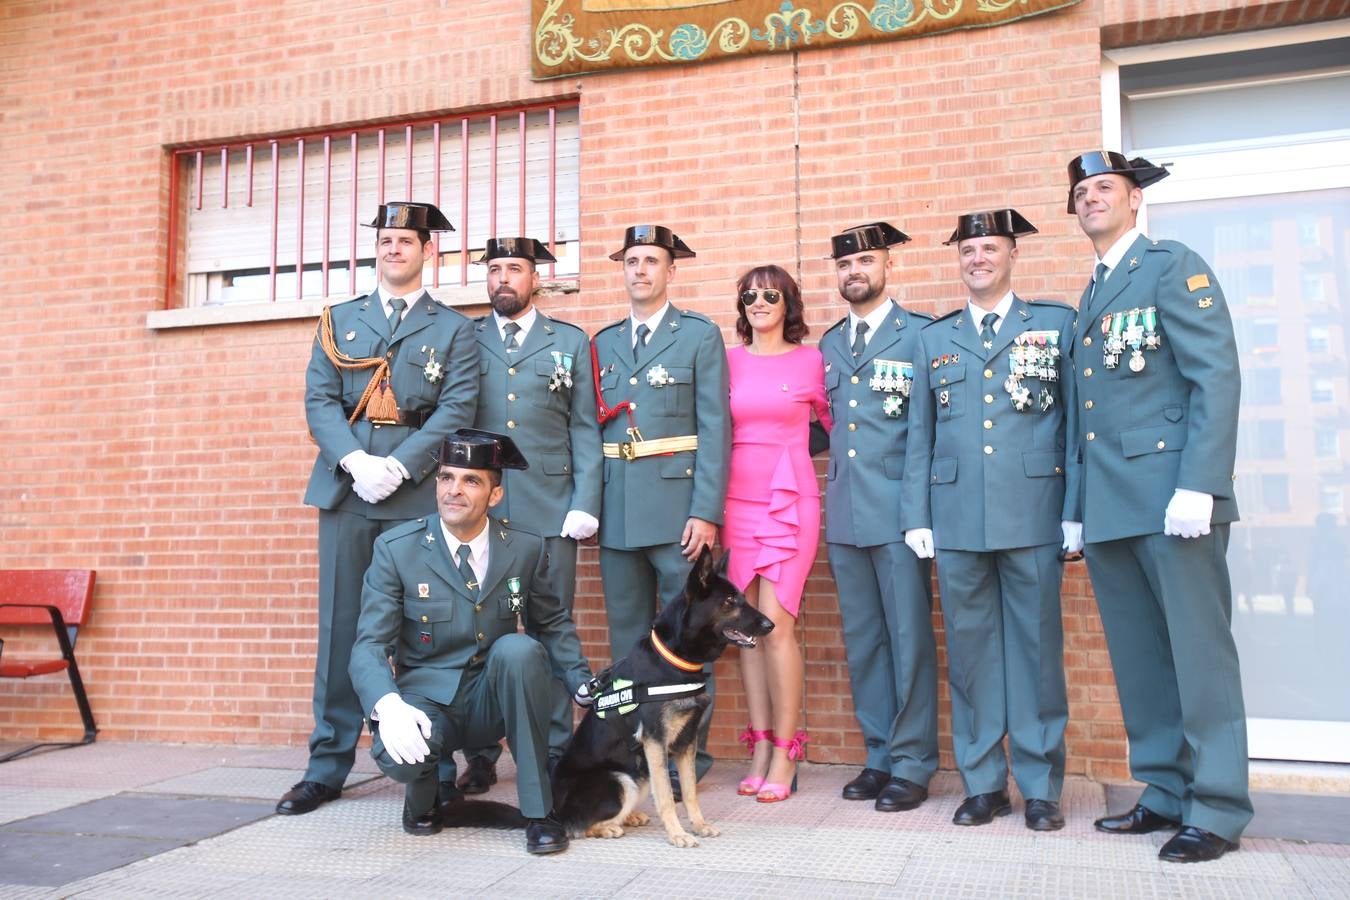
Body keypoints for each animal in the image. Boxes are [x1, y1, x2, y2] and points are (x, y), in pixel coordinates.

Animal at [553, 545, 777, 847]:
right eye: (731, 601)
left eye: (741, 597)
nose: (770, 624)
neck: (674, 662)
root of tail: (553, 810)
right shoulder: (655, 741)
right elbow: (667, 796)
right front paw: (678, 834)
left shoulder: (686, 741)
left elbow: (690, 790)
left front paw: (699, 825)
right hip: (621, 778)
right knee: (577, 826)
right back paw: (607, 828)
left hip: (639, 773)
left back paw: (630, 817)